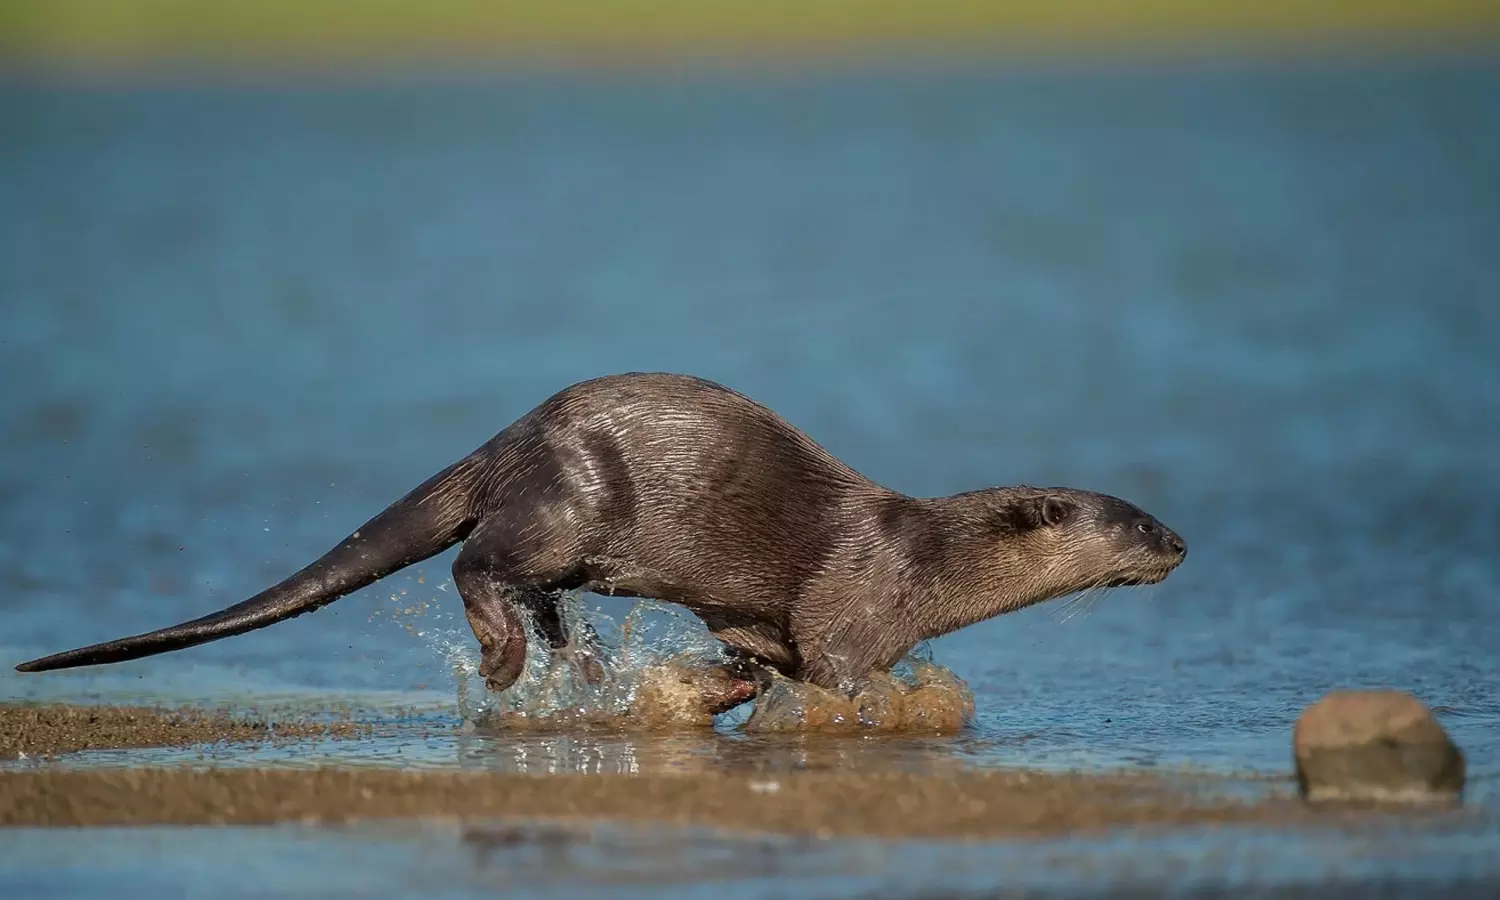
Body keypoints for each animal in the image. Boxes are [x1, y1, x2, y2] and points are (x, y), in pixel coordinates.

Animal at [16, 373, 1186, 712]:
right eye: (1136, 521)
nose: (1181, 542)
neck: (930, 559)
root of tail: (510, 437)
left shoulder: (772, 619)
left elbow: (757, 650)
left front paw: (726, 683)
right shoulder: (860, 598)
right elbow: (838, 667)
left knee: (523, 582)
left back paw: (572, 659)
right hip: (570, 503)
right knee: (475, 561)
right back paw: (510, 659)